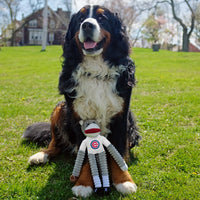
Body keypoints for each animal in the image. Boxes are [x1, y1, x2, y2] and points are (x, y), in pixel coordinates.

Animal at [23, 5, 141, 198]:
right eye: (80, 19)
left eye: (101, 18)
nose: (87, 25)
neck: (96, 72)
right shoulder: (78, 117)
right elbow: (84, 153)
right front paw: (84, 184)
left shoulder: (121, 114)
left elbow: (118, 149)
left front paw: (124, 181)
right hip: (60, 108)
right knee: (55, 143)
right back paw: (41, 155)